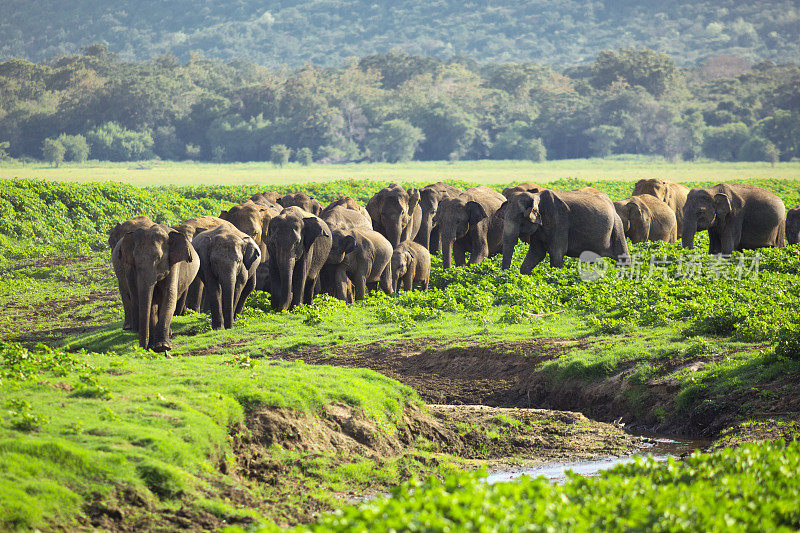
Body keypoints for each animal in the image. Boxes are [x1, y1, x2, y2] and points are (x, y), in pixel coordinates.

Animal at [111, 223, 198, 352]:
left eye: (159, 259)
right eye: (135, 261)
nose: (143, 347)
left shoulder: (173, 264)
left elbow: (169, 294)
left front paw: (162, 346)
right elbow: (150, 301)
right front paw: (155, 346)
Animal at [500, 189, 632, 272]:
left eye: (520, 219)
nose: (506, 274)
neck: (536, 196)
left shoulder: (560, 221)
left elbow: (557, 253)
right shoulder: (538, 231)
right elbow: (536, 253)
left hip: (617, 226)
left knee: (622, 256)